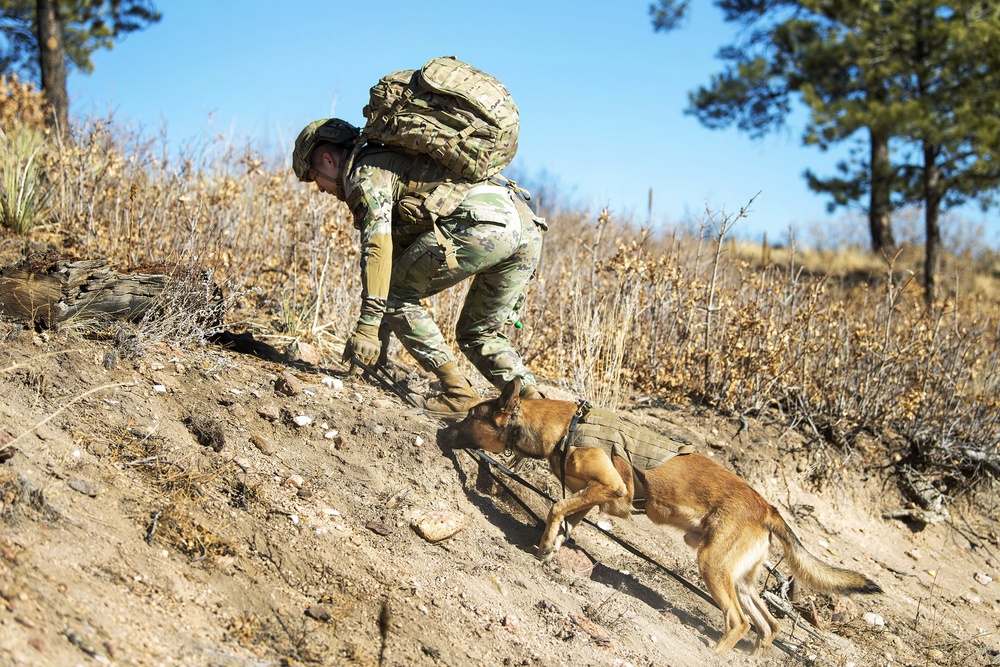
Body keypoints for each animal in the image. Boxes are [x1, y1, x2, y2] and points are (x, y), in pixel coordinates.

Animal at [442, 380, 880, 656]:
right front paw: (550, 544)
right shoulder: (591, 495)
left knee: (739, 623)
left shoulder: (611, 488)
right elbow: (567, 514)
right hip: (741, 579)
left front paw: (547, 542)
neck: (567, 426)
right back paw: (750, 656)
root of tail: (767, 507)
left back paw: (715, 653)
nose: (444, 429)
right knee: (768, 626)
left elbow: (556, 506)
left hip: (713, 566)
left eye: (470, 415)